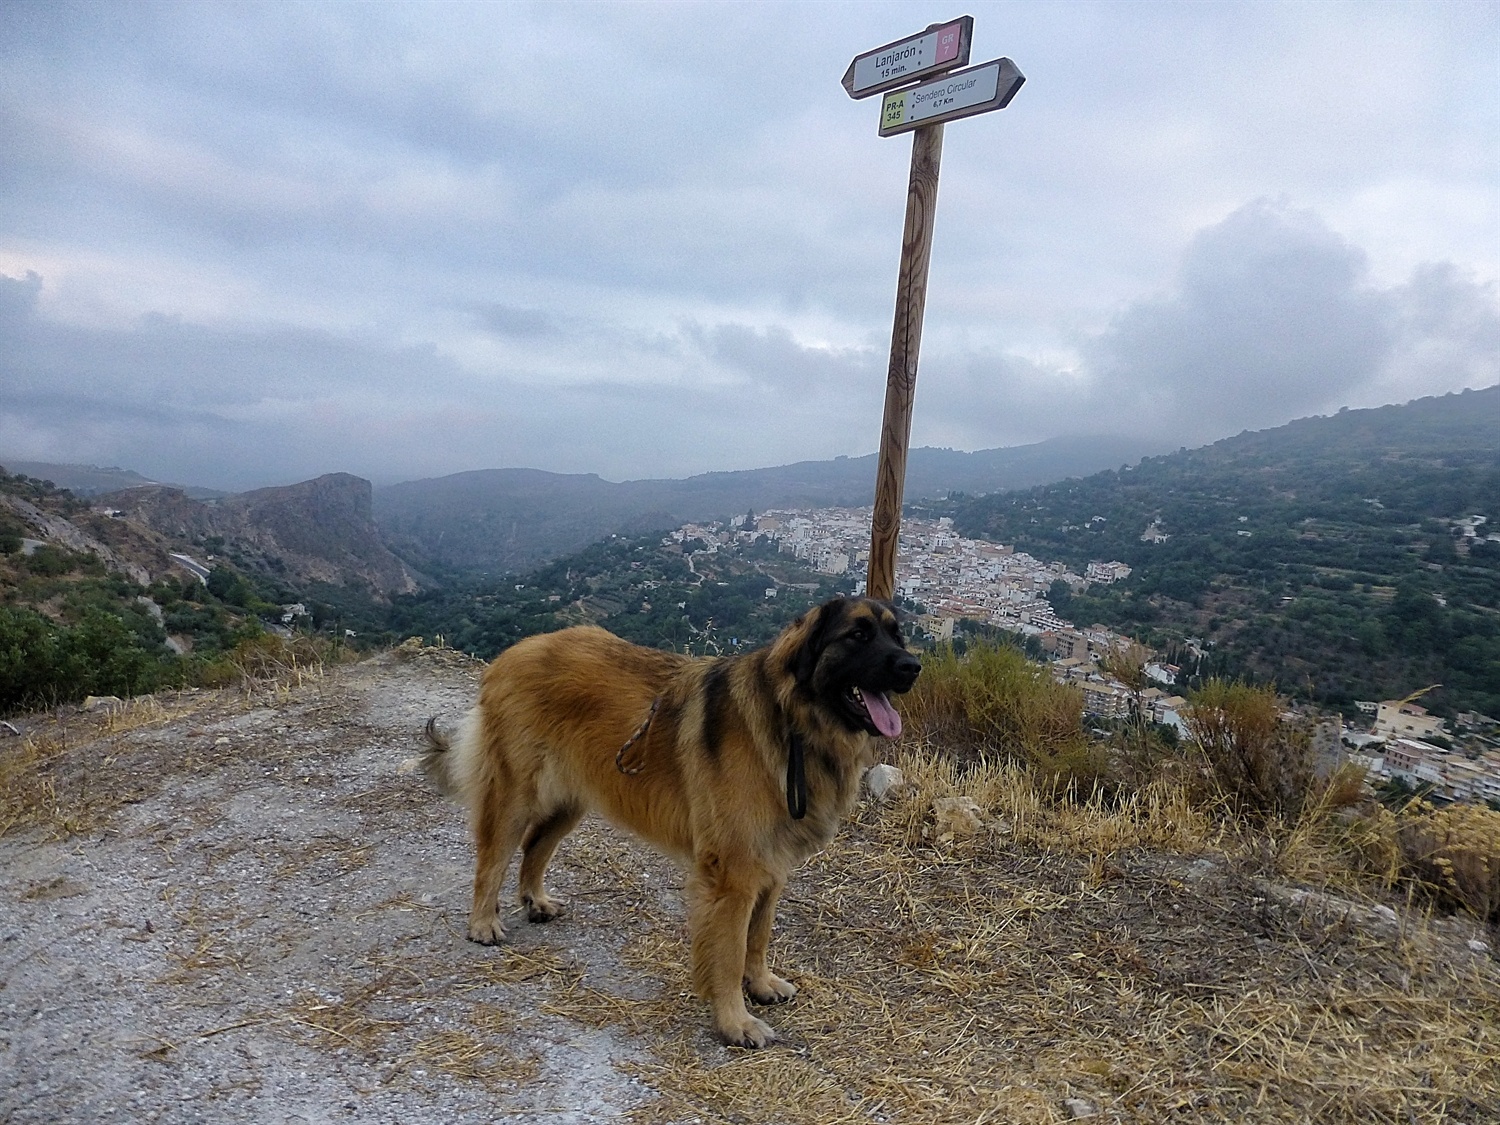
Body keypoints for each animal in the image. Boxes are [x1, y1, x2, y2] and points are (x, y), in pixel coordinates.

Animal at [417, 600, 918, 1050]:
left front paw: (760, 984)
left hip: (573, 799)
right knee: (493, 858)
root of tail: (517, 650)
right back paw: (483, 923)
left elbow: (758, 937)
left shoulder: (770, 867)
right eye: (858, 635)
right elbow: (731, 952)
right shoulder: (734, 877)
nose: (912, 667)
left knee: (536, 845)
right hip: (514, 796)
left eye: (898, 635)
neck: (792, 720)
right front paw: (735, 1022)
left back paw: (535, 901)